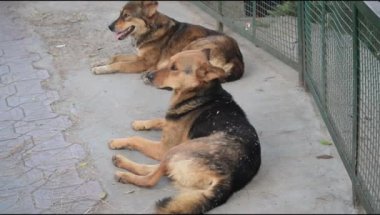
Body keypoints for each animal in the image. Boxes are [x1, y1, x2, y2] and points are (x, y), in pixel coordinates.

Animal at [93, 0, 245, 82]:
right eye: (120, 14)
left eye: (126, 16)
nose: (109, 27)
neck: (150, 30)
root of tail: (237, 57)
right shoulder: (140, 56)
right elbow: (116, 56)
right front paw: (100, 61)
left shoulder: (144, 62)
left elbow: (119, 64)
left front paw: (101, 69)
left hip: (193, 45)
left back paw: (149, 75)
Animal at [107, 49, 262, 213]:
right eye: (169, 62)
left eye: (174, 68)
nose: (148, 75)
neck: (199, 93)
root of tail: (227, 180)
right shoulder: (172, 121)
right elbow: (159, 120)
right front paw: (140, 124)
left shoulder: (163, 147)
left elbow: (137, 139)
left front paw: (118, 141)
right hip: (177, 155)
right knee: (157, 169)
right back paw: (121, 161)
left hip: (176, 150)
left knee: (150, 179)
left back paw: (125, 175)